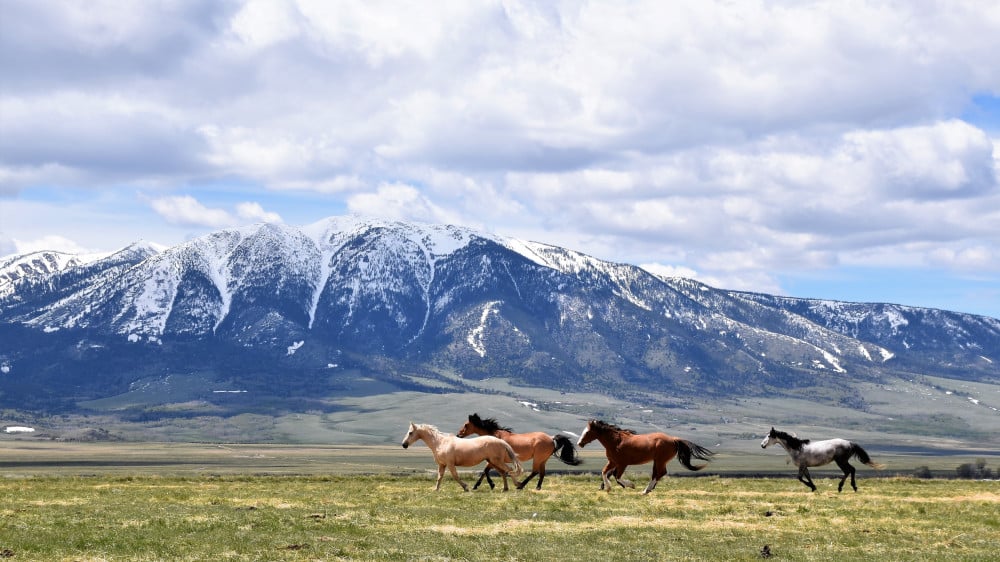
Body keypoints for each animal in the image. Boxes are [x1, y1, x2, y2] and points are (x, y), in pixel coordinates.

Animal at [576, 418, 716, 492]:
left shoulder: (622, 463)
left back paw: (645, 490)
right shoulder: (612, 462)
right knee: (659, 473)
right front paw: (608, 488)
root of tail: (674, 439)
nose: (579, 443)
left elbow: (617, 476)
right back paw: (649, 489)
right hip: (658, 461)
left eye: (587, 432)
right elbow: (604, 472)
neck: (616, 442)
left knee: (659, 473)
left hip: (659, 460)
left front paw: (631, 485)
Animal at [756, 424, 884, 490]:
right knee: (851, 470)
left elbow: (799, 478)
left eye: (769, 436)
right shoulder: (805, 466)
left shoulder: (801, 465)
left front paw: (812, 487)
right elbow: (807, 476)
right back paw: (848, 487)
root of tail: (850, 443)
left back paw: (844, 487)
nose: (762, 445)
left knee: (849, 470)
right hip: (842, 461)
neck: (797, 448)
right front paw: (813, 487)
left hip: (841, 461)